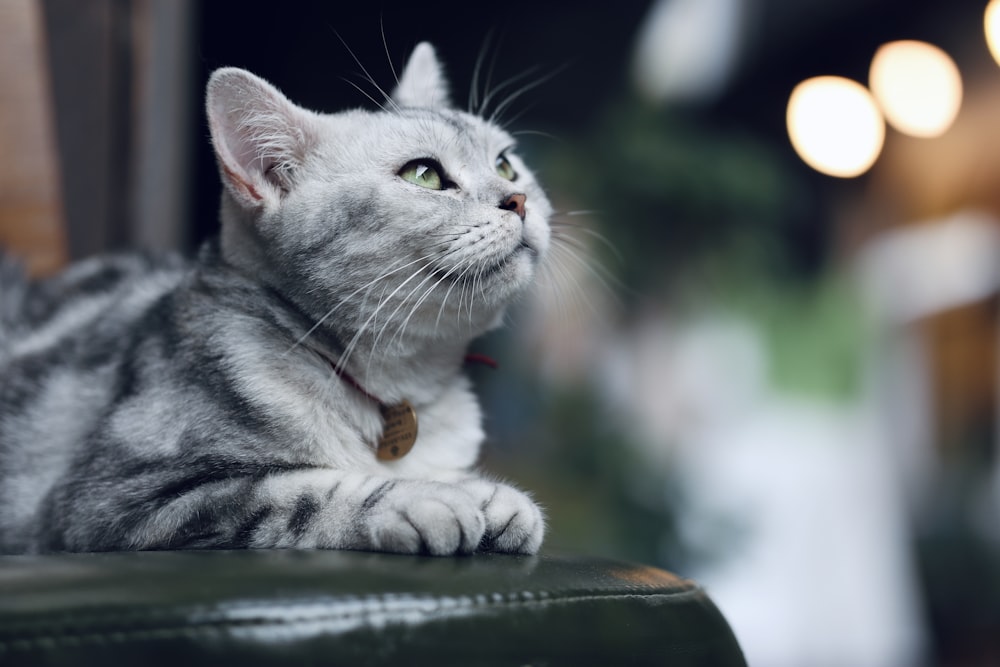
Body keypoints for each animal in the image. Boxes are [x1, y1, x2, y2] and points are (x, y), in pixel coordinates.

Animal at [0, 39, 552, 556]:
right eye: (425, 174)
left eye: (506, 164)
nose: (518, 199)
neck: (401, 384)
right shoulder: (113, 500)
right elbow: (304, 491)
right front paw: (424, 496)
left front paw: (477, 490)